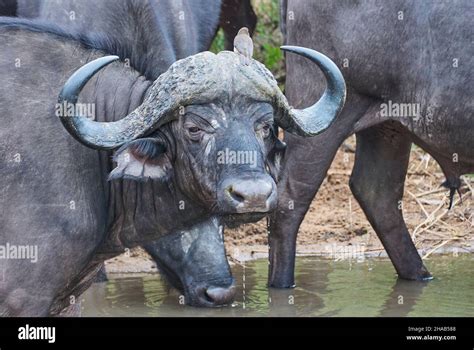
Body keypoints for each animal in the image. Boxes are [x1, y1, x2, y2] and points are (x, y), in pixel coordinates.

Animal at [270, 1, 474, 288]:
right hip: (324, 115)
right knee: (289, 200)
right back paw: (282, 284)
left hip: (388, 127)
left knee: (377, 194)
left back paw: (419, 275)